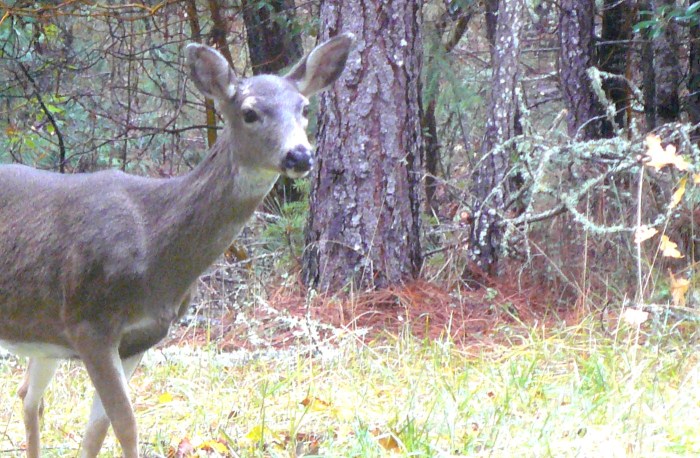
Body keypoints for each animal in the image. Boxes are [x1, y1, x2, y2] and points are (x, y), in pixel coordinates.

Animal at [0, 32, 355, 458]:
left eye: (304, 108)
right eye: (250, 112)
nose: (299, 155)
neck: (154, 246)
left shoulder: (137, 340)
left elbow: (98, 428)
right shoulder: (89, 322)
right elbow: (126, 424)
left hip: (42, 335)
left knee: (28, 396)